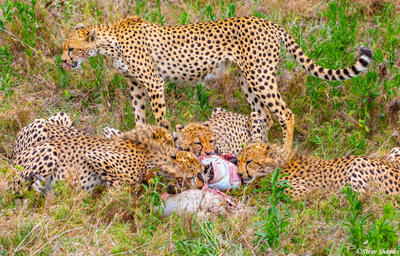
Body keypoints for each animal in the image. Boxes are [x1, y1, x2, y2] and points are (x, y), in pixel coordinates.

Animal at [61, 16, 372, 152]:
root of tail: (267, 21)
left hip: (260, 76)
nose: (62, 62)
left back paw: (283, 151)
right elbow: (139, 119)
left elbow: (160, 120)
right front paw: (139, 140)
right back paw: (254, 149)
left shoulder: (153, 82)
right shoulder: (136, 86)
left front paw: (164, 143)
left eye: (71, 49)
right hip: (247, 79)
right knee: (262, 116)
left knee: (285, 114)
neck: (108, 40)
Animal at [236, 143, 400, 199]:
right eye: (238, 161)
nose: (239, 174)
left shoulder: (303, 192)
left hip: (358, 163)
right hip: (395, 149)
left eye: (249, 162)